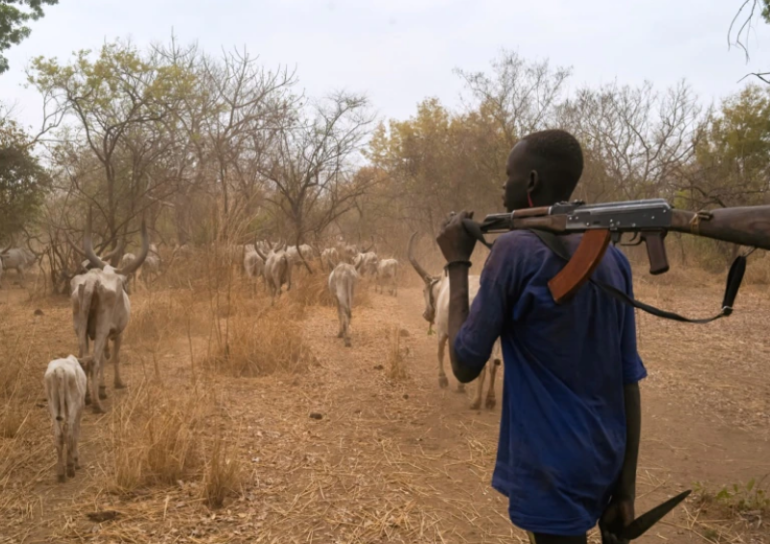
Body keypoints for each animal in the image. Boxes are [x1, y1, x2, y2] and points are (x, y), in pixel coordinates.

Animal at [404, 232, 500, 410]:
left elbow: (440, 352)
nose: (425, 314)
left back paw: (476, 401)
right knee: (494, 364)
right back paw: (490, 399)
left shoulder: (442, 331)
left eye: (423, 290)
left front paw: (443, 379)